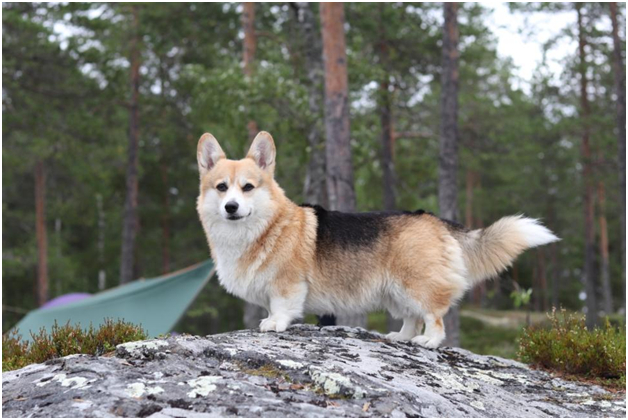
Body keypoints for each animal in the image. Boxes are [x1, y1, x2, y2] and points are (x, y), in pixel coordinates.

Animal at [196, 131, 560, 348]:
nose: (231, 207)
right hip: (395, 292)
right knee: (412, 318)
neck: (262, 228)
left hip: (416, 285)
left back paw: (428, 342)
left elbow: (282, 307)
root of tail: (436, 220)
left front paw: (274, 324)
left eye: (247, 187)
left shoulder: (287, 285)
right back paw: (399, 337)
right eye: (221, 188)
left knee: (434, 317)